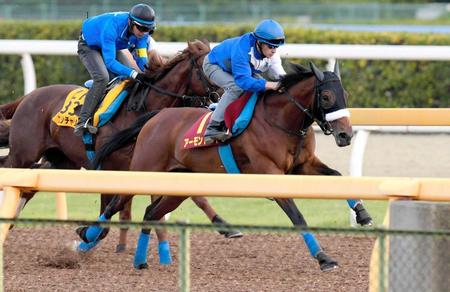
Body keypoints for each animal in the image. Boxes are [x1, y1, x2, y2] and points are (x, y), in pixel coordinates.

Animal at [0, 40, 243, 252]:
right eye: (210, 68)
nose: (226, 102)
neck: (139, 109)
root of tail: (28, 97)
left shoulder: (159, 166)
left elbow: (196, 196)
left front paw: (226, 226)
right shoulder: (111, 166)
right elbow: (109, 210)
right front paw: (87, 236)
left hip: (63, 160)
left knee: (30, 185)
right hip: (24, 154)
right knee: (11, 173)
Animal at [80, 61, 370, 272]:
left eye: (346, 94)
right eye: (327, 96)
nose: (345, 135)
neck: (280, 120)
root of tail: (156, 117)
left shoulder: (304, 166)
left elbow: (338, 176)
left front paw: (362, 214)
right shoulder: (271, 175)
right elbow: (297, 217)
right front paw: (323, 257)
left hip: (179, 183)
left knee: (151, 211)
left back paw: (140, 260)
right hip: (145, 169)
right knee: (116, 201)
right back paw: (86, 236)